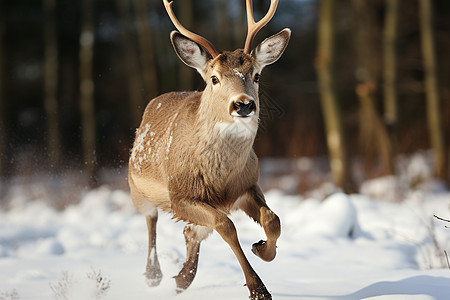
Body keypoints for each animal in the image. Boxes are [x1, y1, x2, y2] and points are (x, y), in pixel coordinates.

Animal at [128, 1, 290, 298]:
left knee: (192, 232)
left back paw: (182, 278)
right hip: (136, 188)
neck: (220, 180)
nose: (243, 104)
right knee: (151, 220)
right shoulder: (179, 195)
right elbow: (226, 226)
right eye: (214, 79)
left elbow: (273, 219)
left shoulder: (248, 184)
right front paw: (258, 288)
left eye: (256, 76)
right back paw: (154, 275)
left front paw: (261, 248)